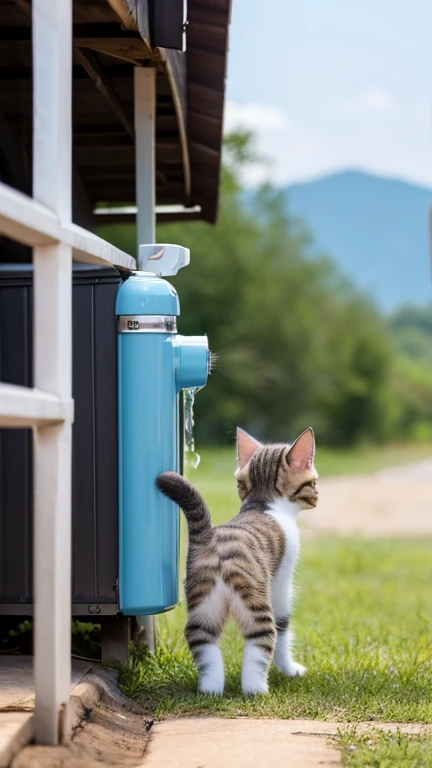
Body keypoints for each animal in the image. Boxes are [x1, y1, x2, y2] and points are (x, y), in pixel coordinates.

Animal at [156, 426, 318, 696]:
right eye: (313, 481)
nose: (317, 495)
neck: (263, 502)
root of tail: (213, 541)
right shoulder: (282, 581)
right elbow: (284, 626)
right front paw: (291, 670)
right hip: (255, 605)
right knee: (261, 642)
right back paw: (257, 691)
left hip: (204, 605)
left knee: (201, 641)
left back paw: (211, 690)